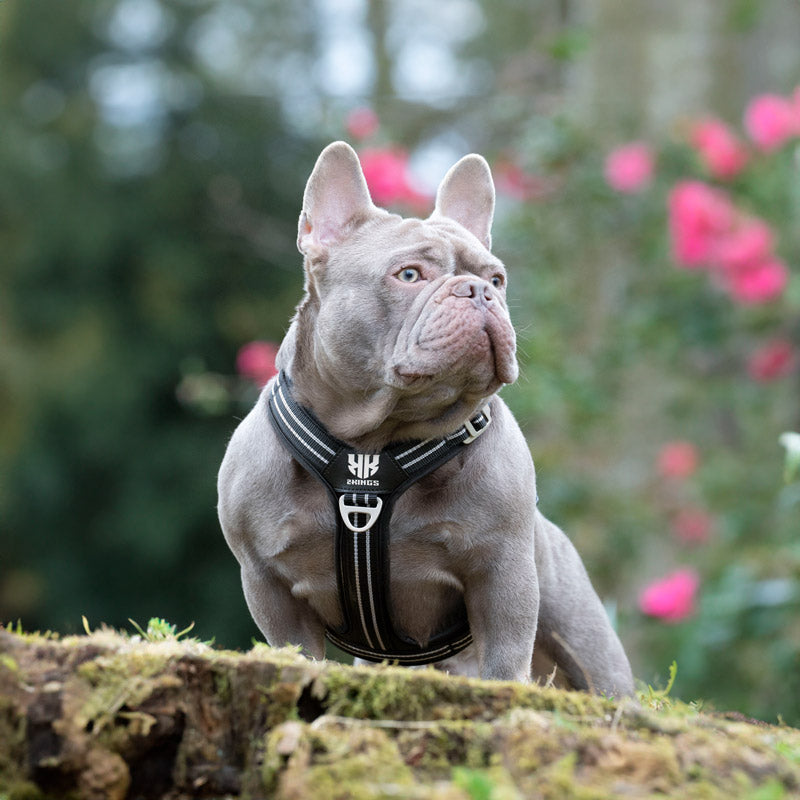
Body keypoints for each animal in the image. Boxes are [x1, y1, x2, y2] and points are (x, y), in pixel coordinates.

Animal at [216, 141, 636, 696]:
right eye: (410, 275)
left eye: (496, 279)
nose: (477, 291)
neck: (371, 450)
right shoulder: (269, 582)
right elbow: (297, 649)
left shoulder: (503, 572)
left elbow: (506, 656)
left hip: (581, 636)